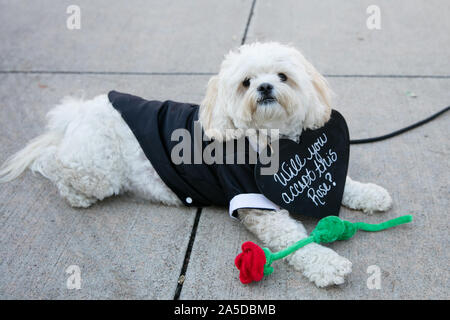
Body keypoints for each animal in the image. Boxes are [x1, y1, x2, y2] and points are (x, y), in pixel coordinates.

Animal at [0, 42, 392, 288]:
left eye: (282, 76)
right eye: (246, 82)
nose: (265, 87)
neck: (270, 138)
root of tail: (81, 111)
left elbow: (346, 183)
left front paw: (369, 194)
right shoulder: (255, 204)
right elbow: (294, 240)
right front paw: (327, 264)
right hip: (96, 171)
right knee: (55, 163)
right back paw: (72, 190)